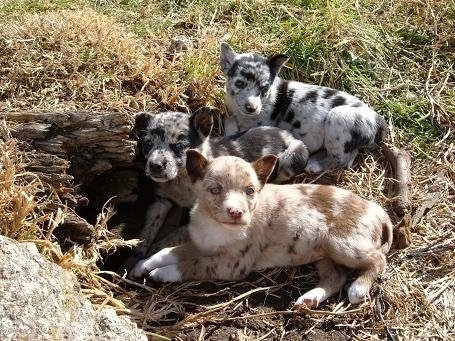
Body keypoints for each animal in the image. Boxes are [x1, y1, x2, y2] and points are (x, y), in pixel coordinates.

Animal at [130, 150, 394, 306]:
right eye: (215, 189)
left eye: (250, 191)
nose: (236, 213)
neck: (215, 226)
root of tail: (380, 212)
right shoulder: (202, 244)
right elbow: (170, 251)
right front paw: (143, 265)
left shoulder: (232, 264)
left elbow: (192, 265)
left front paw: (163, 273)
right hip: (324, 253)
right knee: (335, 277)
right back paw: (309, 299)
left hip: (344, 245)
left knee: (377, 260)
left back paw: (358, 288)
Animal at [221, 42, 388, 173]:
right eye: (239, 84)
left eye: (264, 88)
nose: (252, 108)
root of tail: (379, 122)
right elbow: (229, 119)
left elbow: (232, 129)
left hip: (338, 117)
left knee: (341, 159)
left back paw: (314, 166)